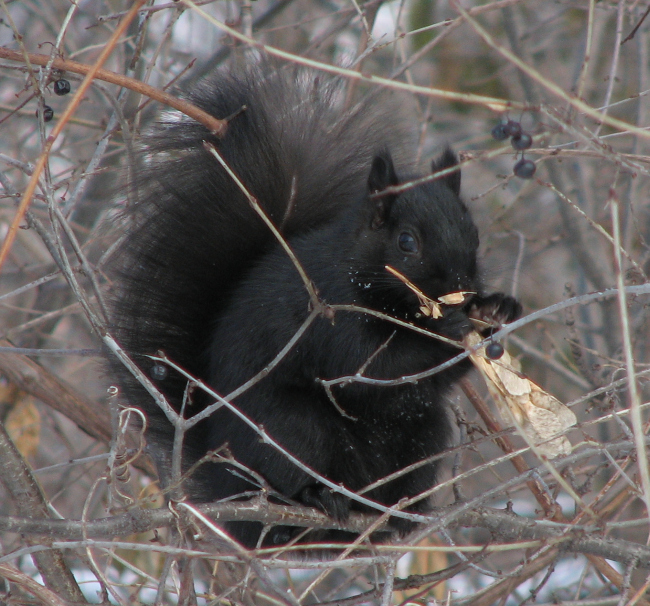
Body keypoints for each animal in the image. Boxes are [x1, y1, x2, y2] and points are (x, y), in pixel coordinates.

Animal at [109, 64, 520, 548]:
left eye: (473, 234)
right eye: (407, 243)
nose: (462, 289)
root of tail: (230, 485)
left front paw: (496, 311)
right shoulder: (326, 317)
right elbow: (373, 367)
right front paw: (449, 332)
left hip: (424, 434)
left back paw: (401, 511)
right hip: (293, 430)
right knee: (293, 472)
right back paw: (320, 498)